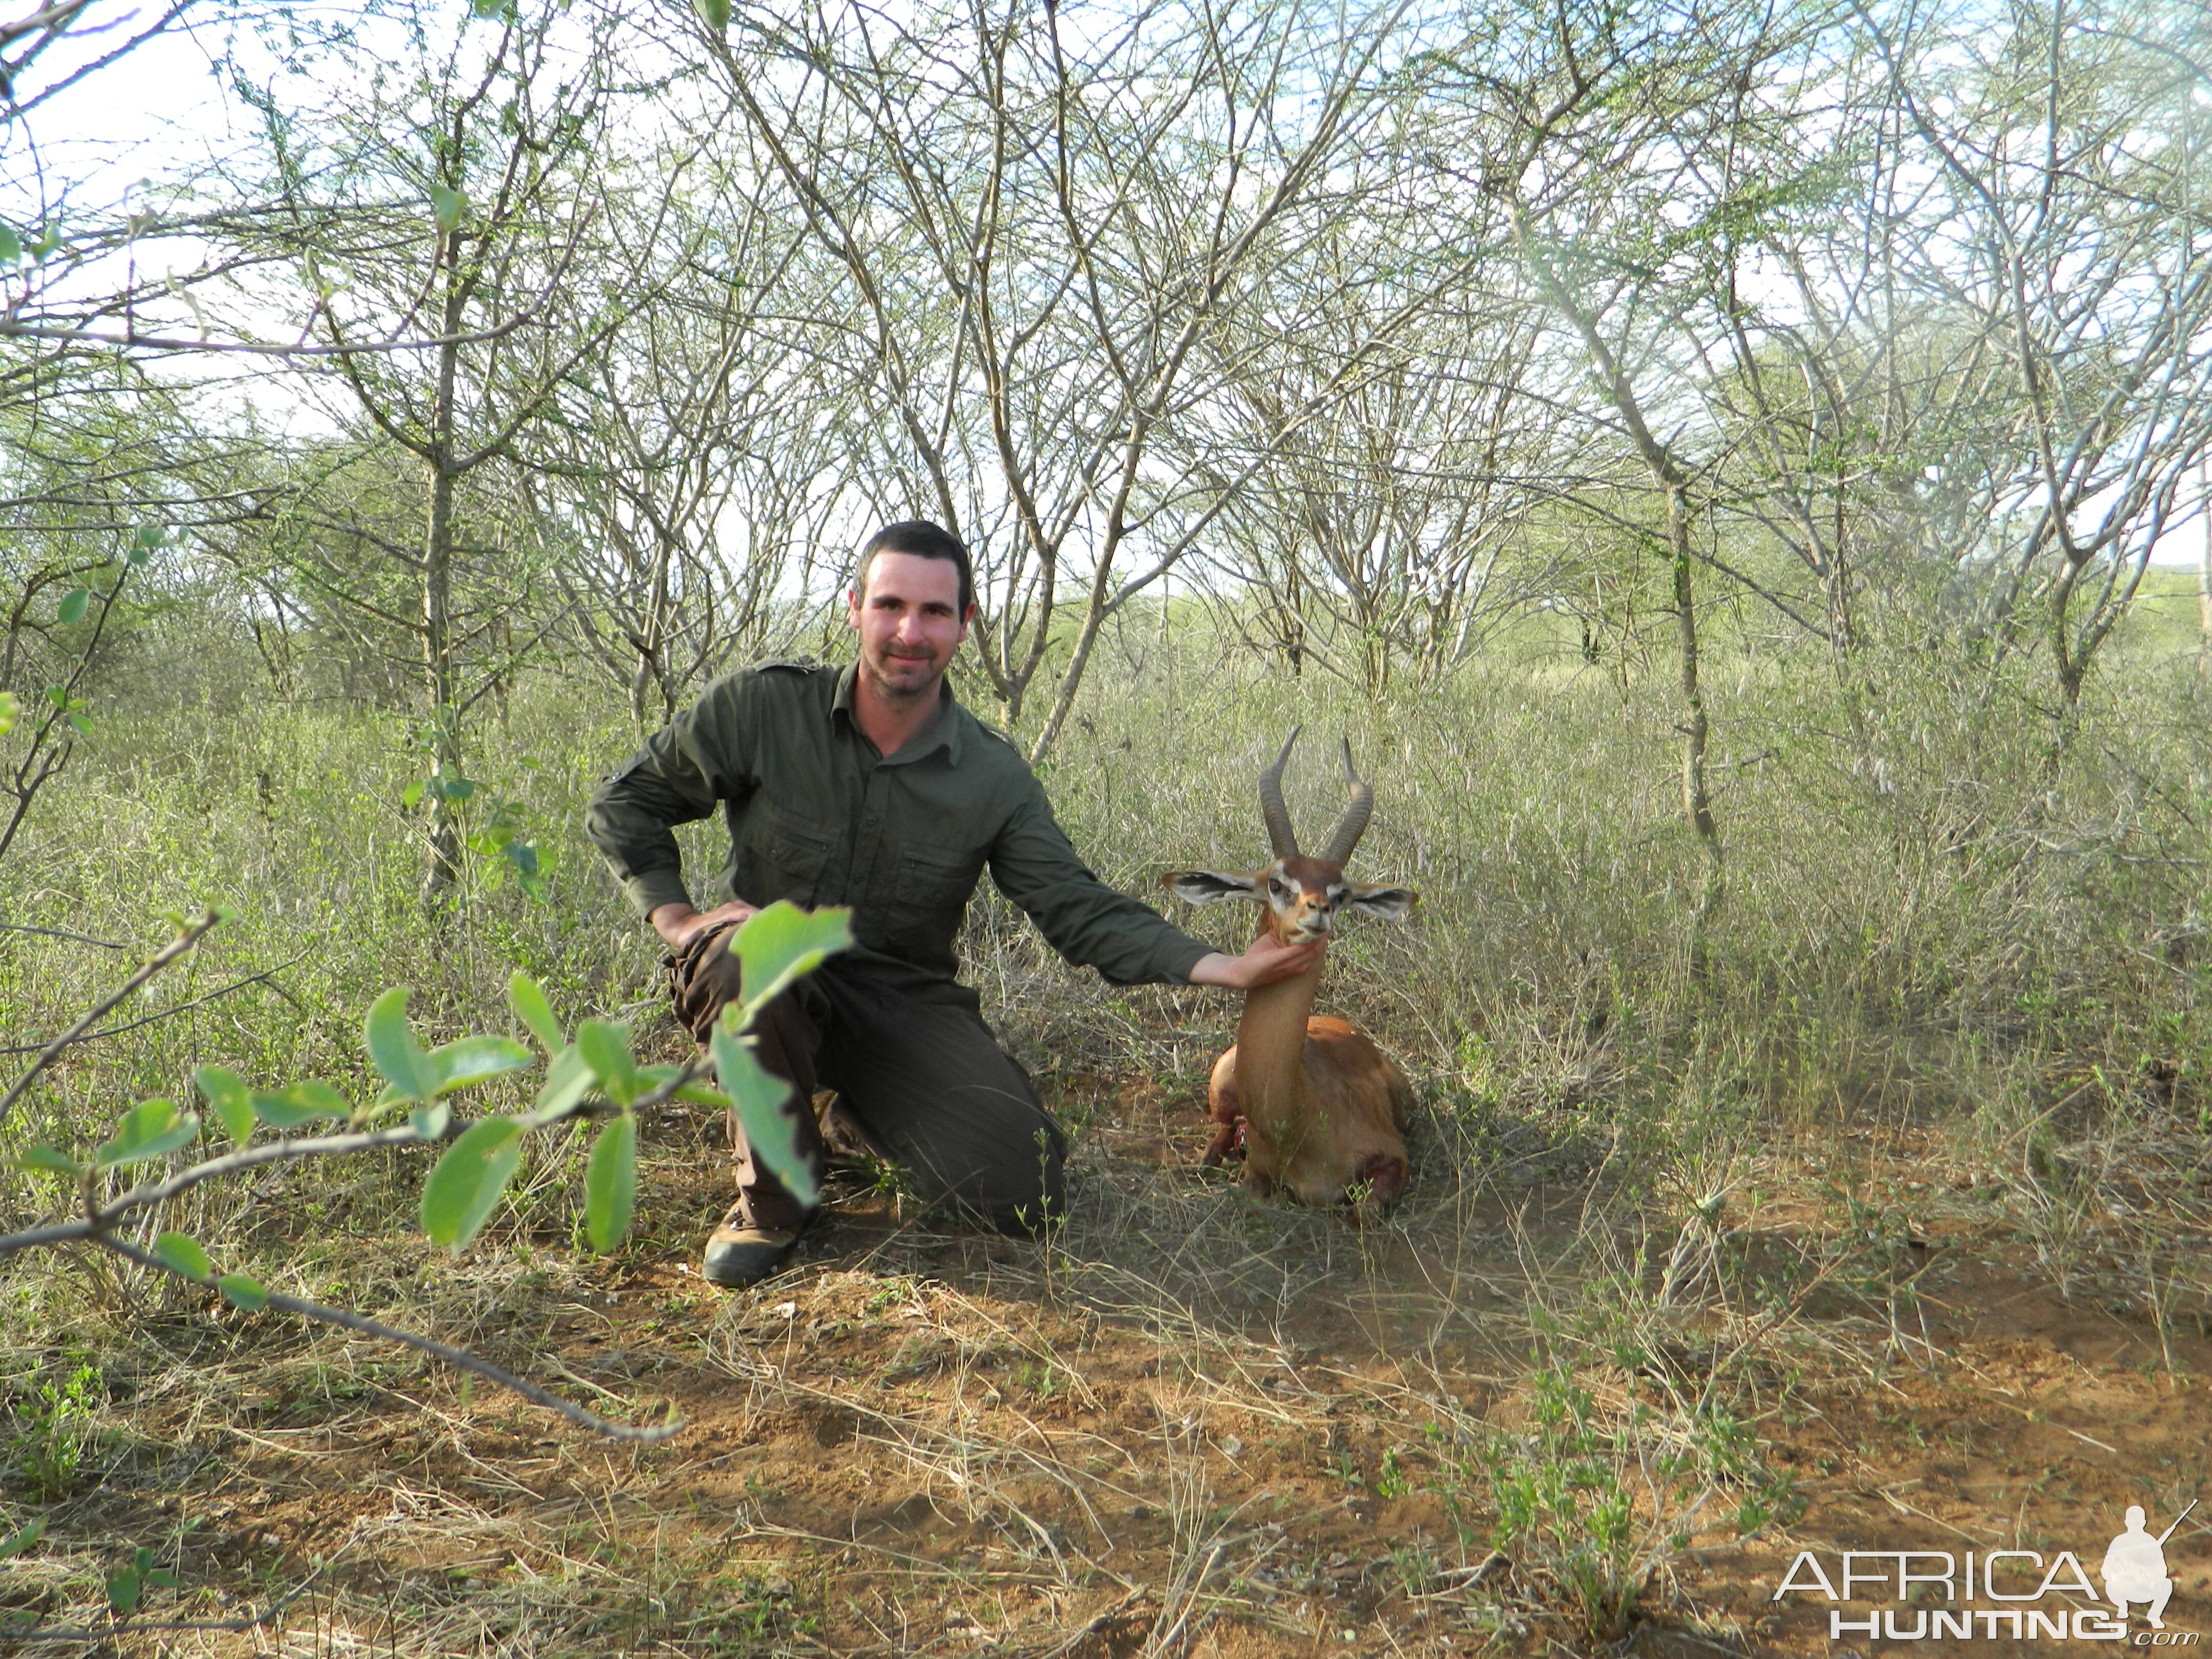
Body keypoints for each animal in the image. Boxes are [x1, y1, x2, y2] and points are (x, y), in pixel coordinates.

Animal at [1159, 734, 1415, 1212]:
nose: (1319, 910)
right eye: (1277, 883)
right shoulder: (1256, 1179)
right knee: (1224, 1127)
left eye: (1342, 892)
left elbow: (1363, 1212)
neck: (1294, 1115)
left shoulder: (1394, 1159)